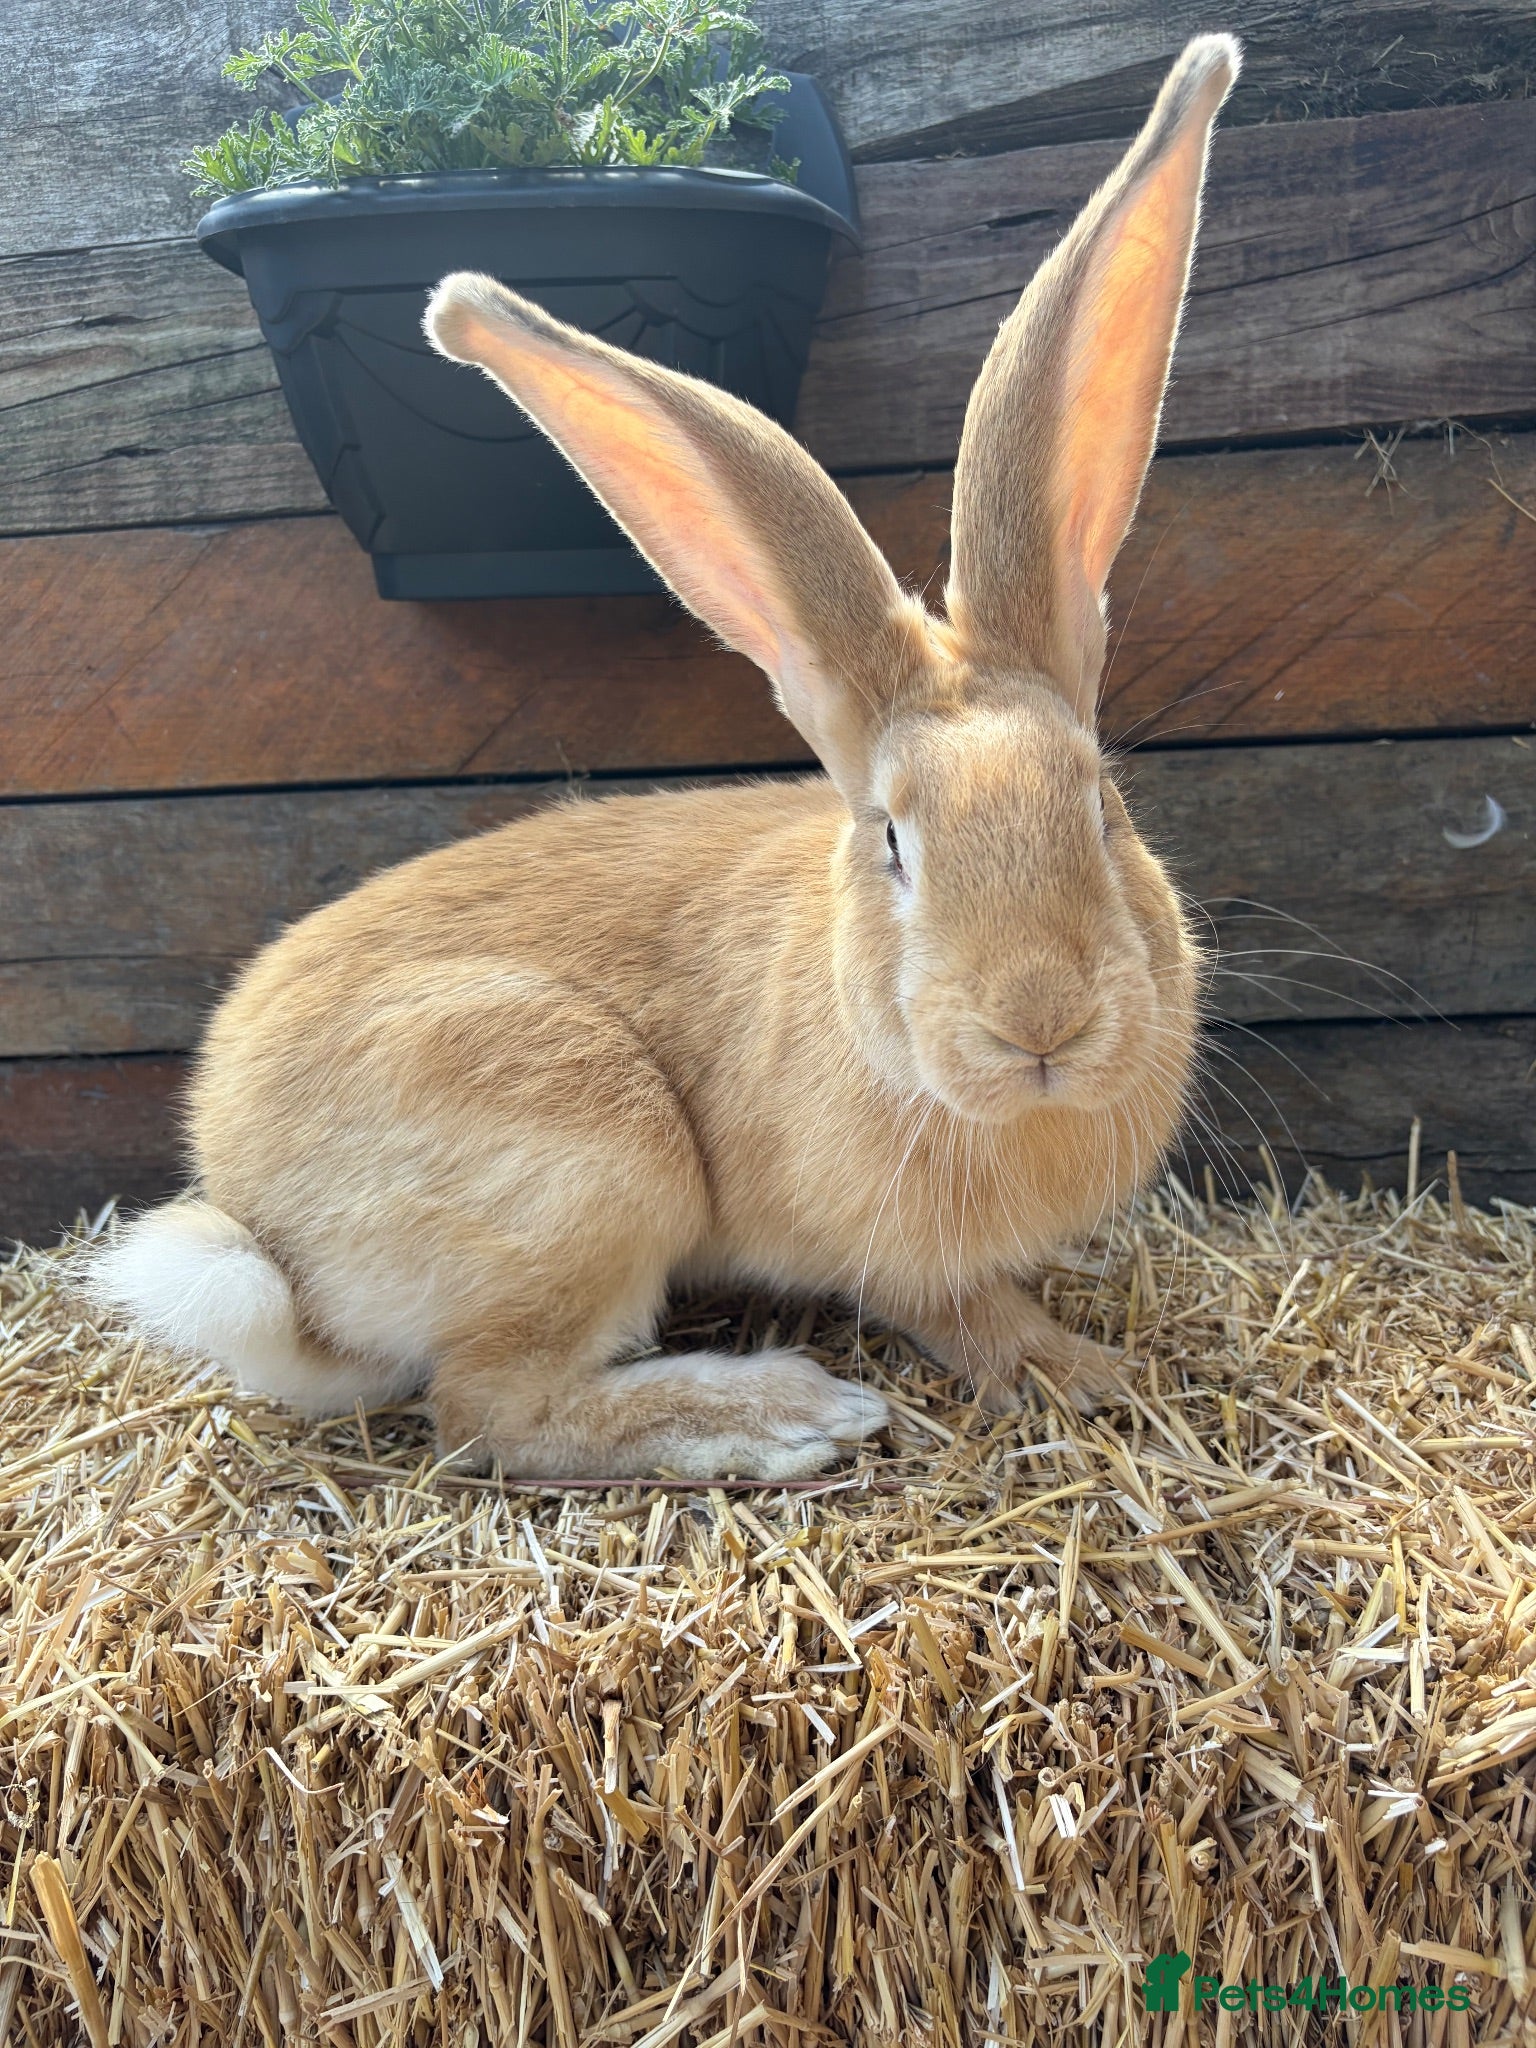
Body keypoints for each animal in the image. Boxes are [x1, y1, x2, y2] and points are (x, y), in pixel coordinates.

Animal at [85, 34, 1237, 1480]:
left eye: (1100, 806)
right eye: (894, 841)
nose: (1041, 1021)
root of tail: (272, 1256)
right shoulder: (897, 1259)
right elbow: (961, 1311)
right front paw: (1078, 1371)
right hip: (585, 1150)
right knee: (490, 1409)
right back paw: (786, 1412)